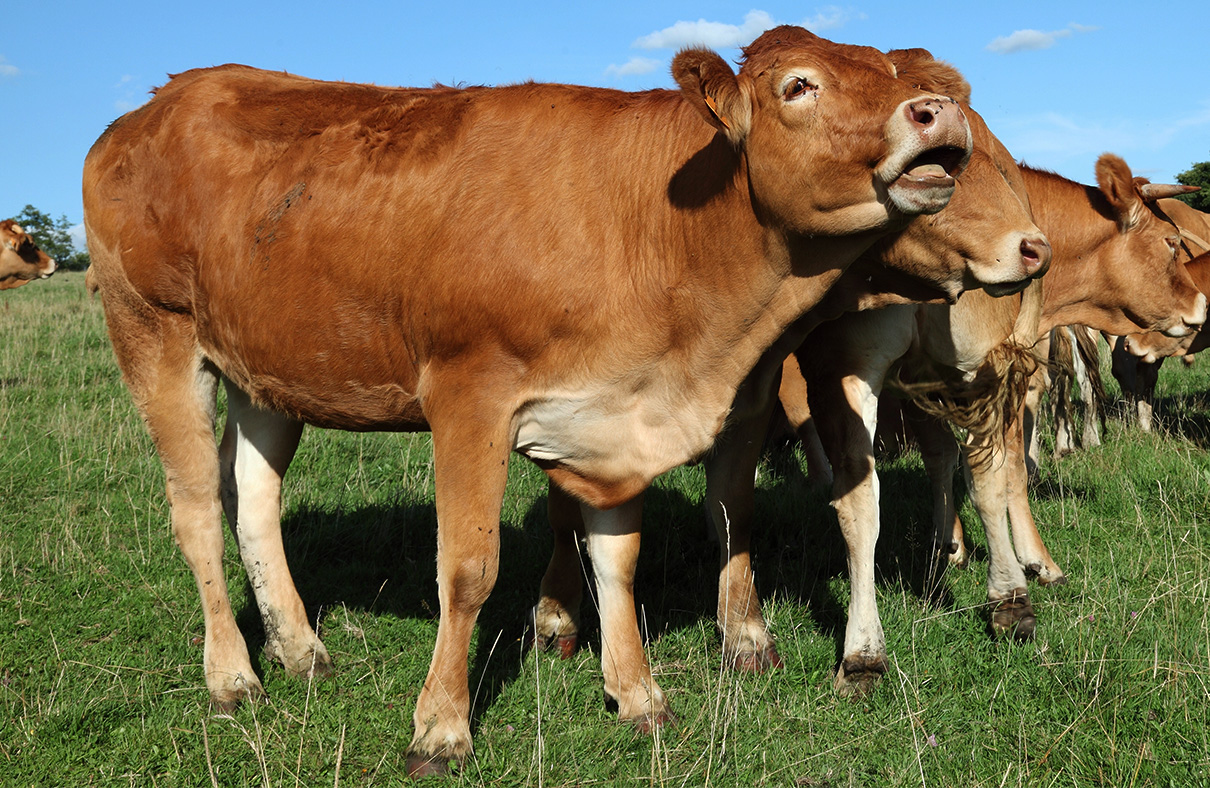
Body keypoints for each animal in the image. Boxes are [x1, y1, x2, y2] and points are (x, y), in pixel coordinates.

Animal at [85, 27, 977, 774]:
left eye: (894, 72)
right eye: (799, 85)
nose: (938, 113)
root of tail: (158, 101)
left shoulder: (611, 422)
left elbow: (617, 558)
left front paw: (638, 695)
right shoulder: (467, 395)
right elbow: (467, 570)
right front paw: (441, 729)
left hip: (265, 370)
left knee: (254, 498)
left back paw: (300, 649)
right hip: (155, 335)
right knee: (197, 510)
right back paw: (233, 676)